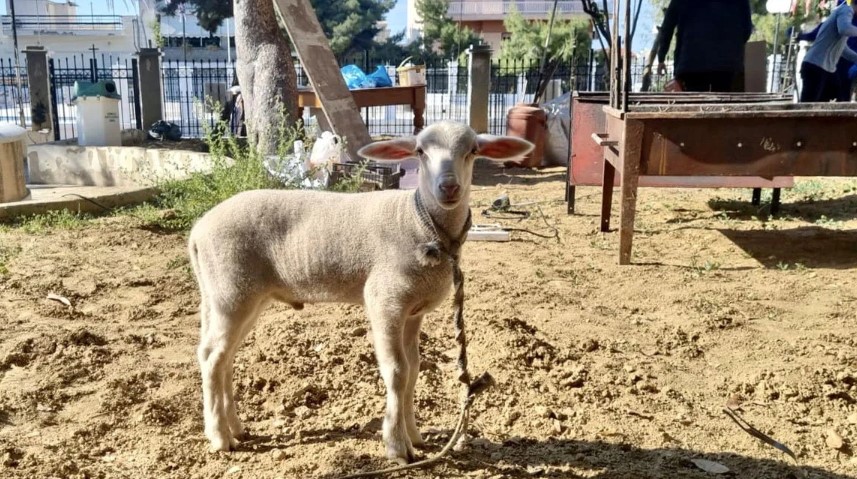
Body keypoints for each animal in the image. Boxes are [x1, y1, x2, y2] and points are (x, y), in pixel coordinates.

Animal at [191, 121, 532, 464]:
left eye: (473, 150)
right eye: (420, 151)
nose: (448, 188)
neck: (421, 224)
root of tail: (198, 230)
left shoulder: (413, 312)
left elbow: (414, 369)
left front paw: (415, 436)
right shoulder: (385, 301)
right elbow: (397, 372)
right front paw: (396, 446)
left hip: (230, 295)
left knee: (222, 357)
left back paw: (236, 428)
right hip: (232, 291)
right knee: (212, 357)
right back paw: (220, 437)